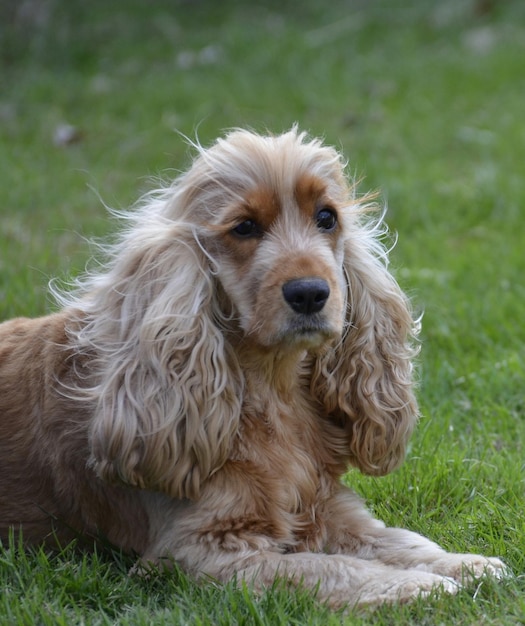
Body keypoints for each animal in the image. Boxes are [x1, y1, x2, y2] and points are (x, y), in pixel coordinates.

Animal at [0, 127, 508, 604]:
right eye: (244, 228)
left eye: (327, 217)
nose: (310, 293)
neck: (272, 387)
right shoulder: (201, 550)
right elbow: (328, 568)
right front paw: (421, 587)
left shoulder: (329, 507)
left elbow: (400, 541)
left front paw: (469, 565)